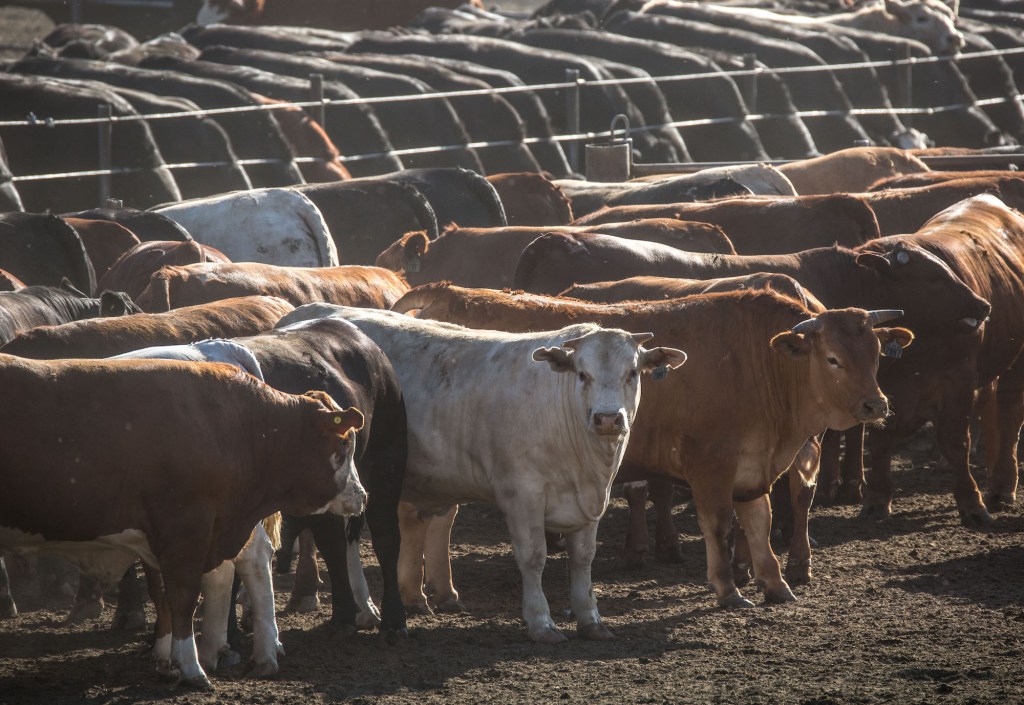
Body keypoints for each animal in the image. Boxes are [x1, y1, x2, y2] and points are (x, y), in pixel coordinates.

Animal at [0, 355, 366, 688]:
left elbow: (170, 595)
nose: (362, 495)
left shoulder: (174, 532)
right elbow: (178, 595)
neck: (241, 426)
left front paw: (176, 662)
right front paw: (186, 665)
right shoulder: (182, 530)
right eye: (345, 442)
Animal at [275, 305, 687, 641]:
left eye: (632, 373)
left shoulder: (591, 500)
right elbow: (533, 556)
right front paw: (541, 622)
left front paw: (590, 619)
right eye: (582, 374)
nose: (607, 418)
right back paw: (359, 609)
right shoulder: (522, 495)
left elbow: (584, 558)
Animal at [384, 286, 912, 605]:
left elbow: (758, 524)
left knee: (438, 518)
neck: (755, 360)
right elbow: (720, 525)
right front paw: (727, 588)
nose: (876, 404)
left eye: (876, 353)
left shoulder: (752, 467)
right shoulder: (710, 464)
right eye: (833, 358)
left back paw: (440, 591)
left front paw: (775, 582)